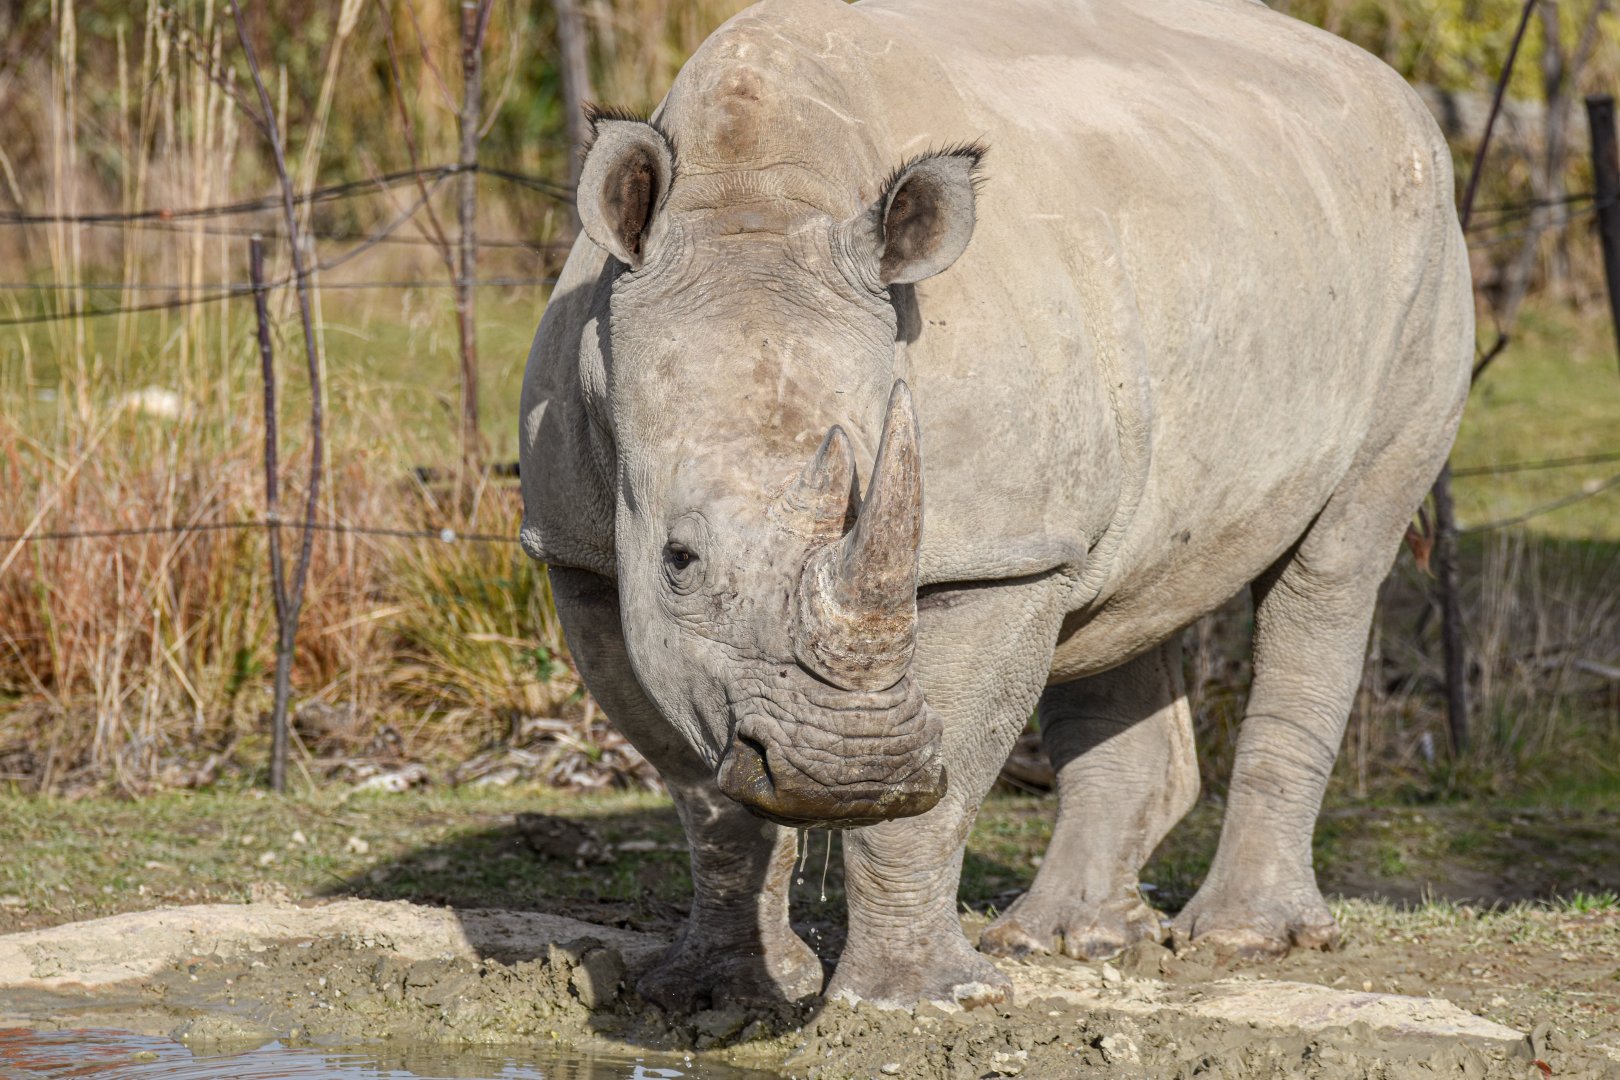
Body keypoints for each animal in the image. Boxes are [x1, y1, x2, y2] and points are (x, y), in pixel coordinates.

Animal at [519, 0, 1471, 1008]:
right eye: (679, 559)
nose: (848, 769)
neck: (754, 196)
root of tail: (1393, 88)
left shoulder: (997, 556)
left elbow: (942, 783)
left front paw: (915, 1000)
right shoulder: (580, 552)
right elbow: (703, 795)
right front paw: (716, 993)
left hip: (1422, 255)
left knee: (1333, 563)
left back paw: (1242, 943)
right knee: (1121, 593)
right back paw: (1067, 940)